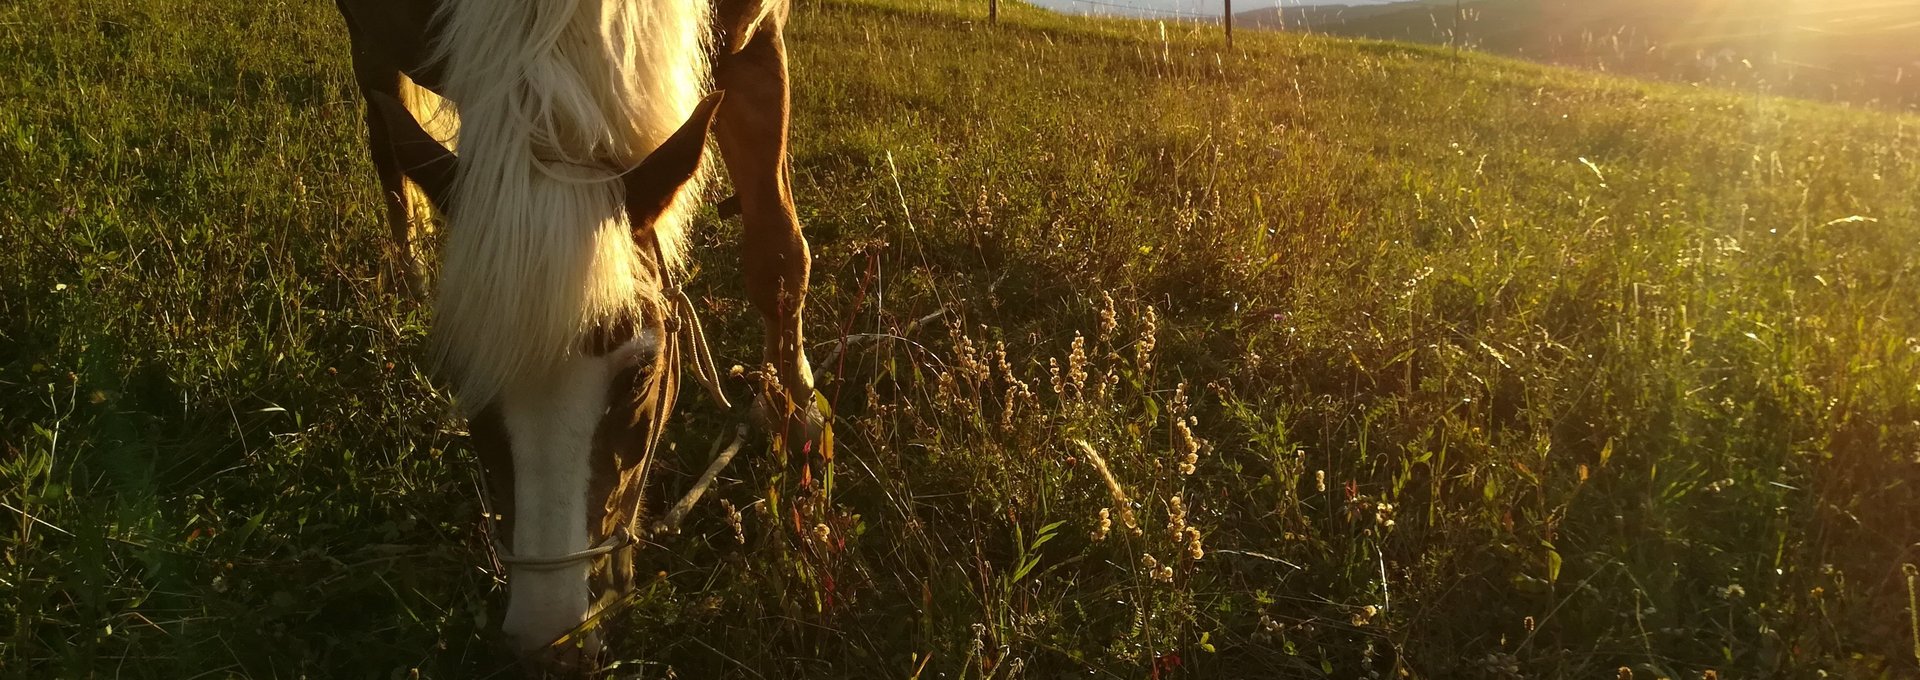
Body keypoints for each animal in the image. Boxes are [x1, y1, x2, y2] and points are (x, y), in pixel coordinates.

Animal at [331, 0, 822, 671]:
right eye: (457, 372)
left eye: (640, 375)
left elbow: (779, 257)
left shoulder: (759, 35)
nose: (552, 640)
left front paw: (800, 424)